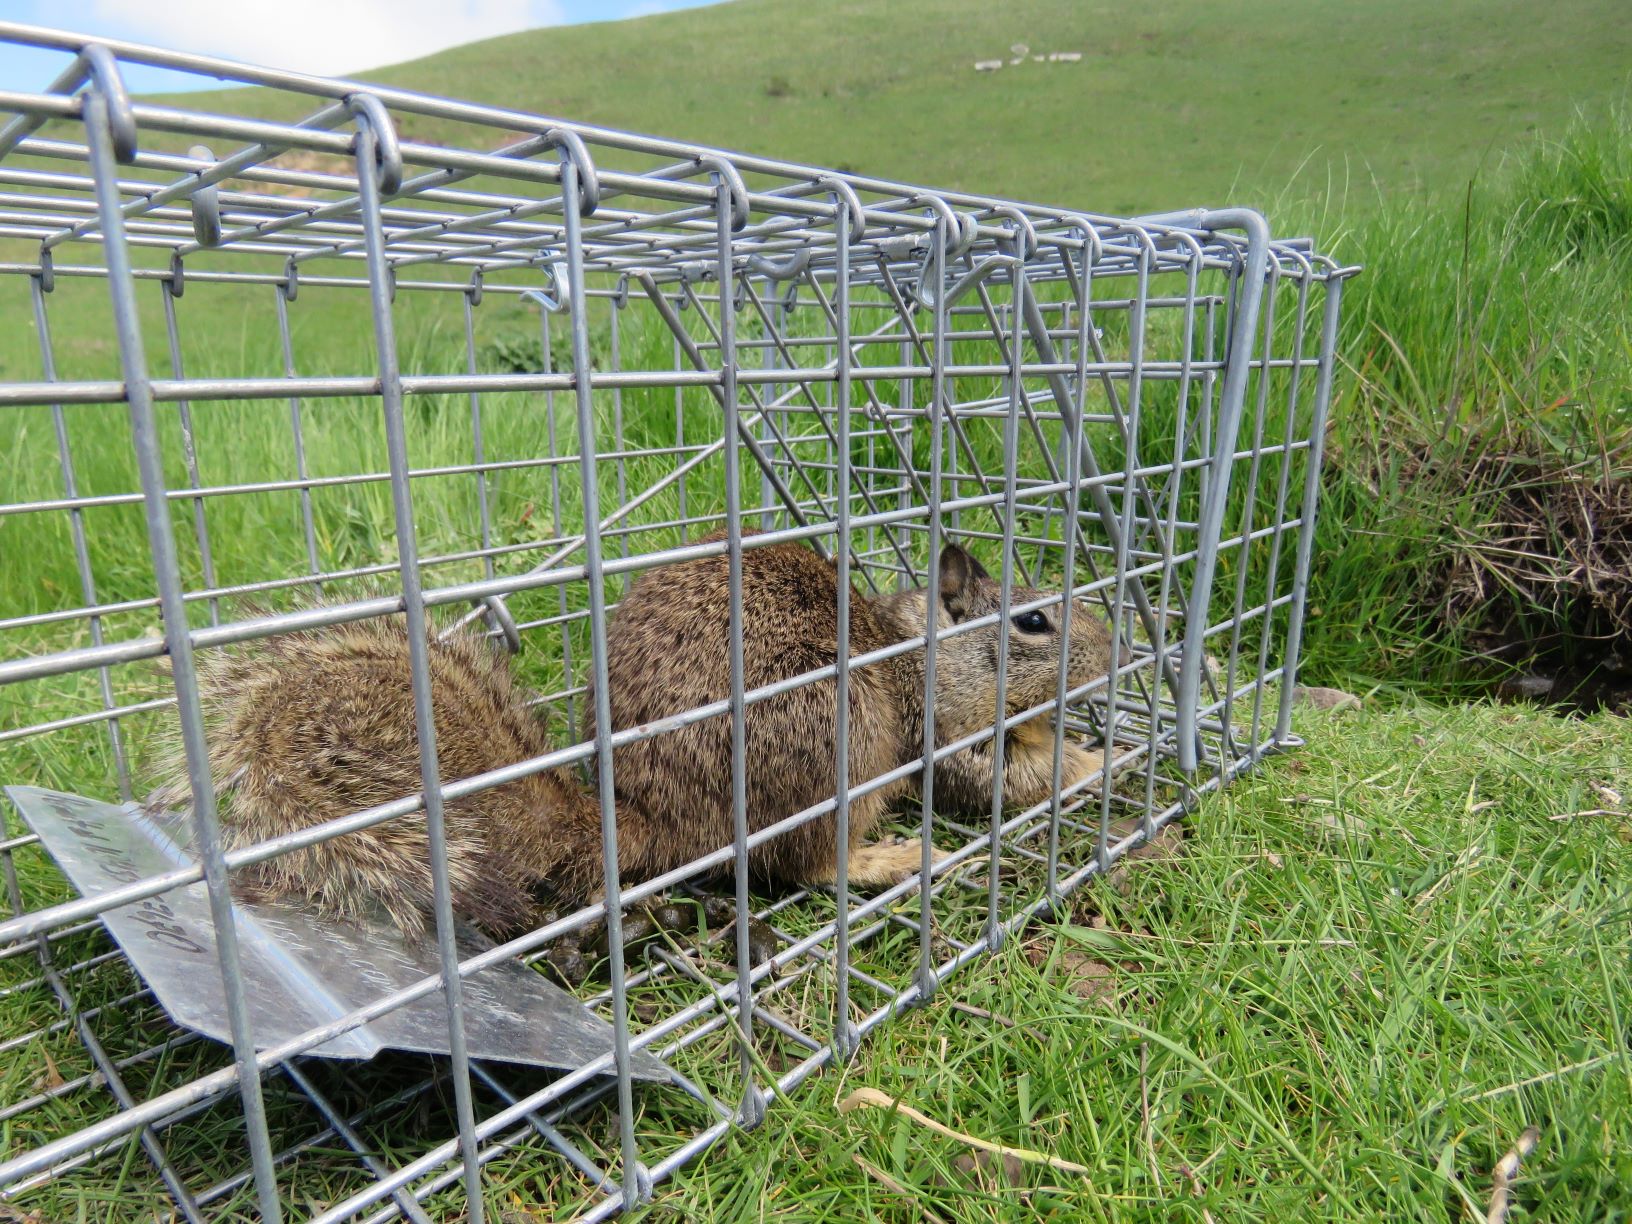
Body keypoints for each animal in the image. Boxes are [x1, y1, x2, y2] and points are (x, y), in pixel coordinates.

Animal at [586, 530, 1113, 891]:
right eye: (1033, 621)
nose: (1120, 651)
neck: (915, 650)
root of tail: (653, 816)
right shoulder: (940, 740)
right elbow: (1021, 776)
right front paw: (1097, 762)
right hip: (845, 735)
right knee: (814, 866)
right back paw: (897, 859)